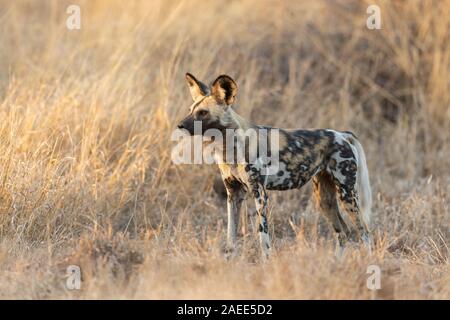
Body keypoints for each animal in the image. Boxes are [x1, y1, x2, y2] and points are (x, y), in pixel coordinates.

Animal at [178, 73, 370, 258]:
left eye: (203, 113)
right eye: (190, 110)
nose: (180, 125)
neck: (228, 147)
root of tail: (342, 135)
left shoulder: (260, 194)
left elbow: (263, 237)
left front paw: (266, 262)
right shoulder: (233, 194)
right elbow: (230, 237)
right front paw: (228, 261)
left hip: (347, 195)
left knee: (364, 232)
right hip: (324, 199)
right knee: (343, 232)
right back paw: (335, 264)